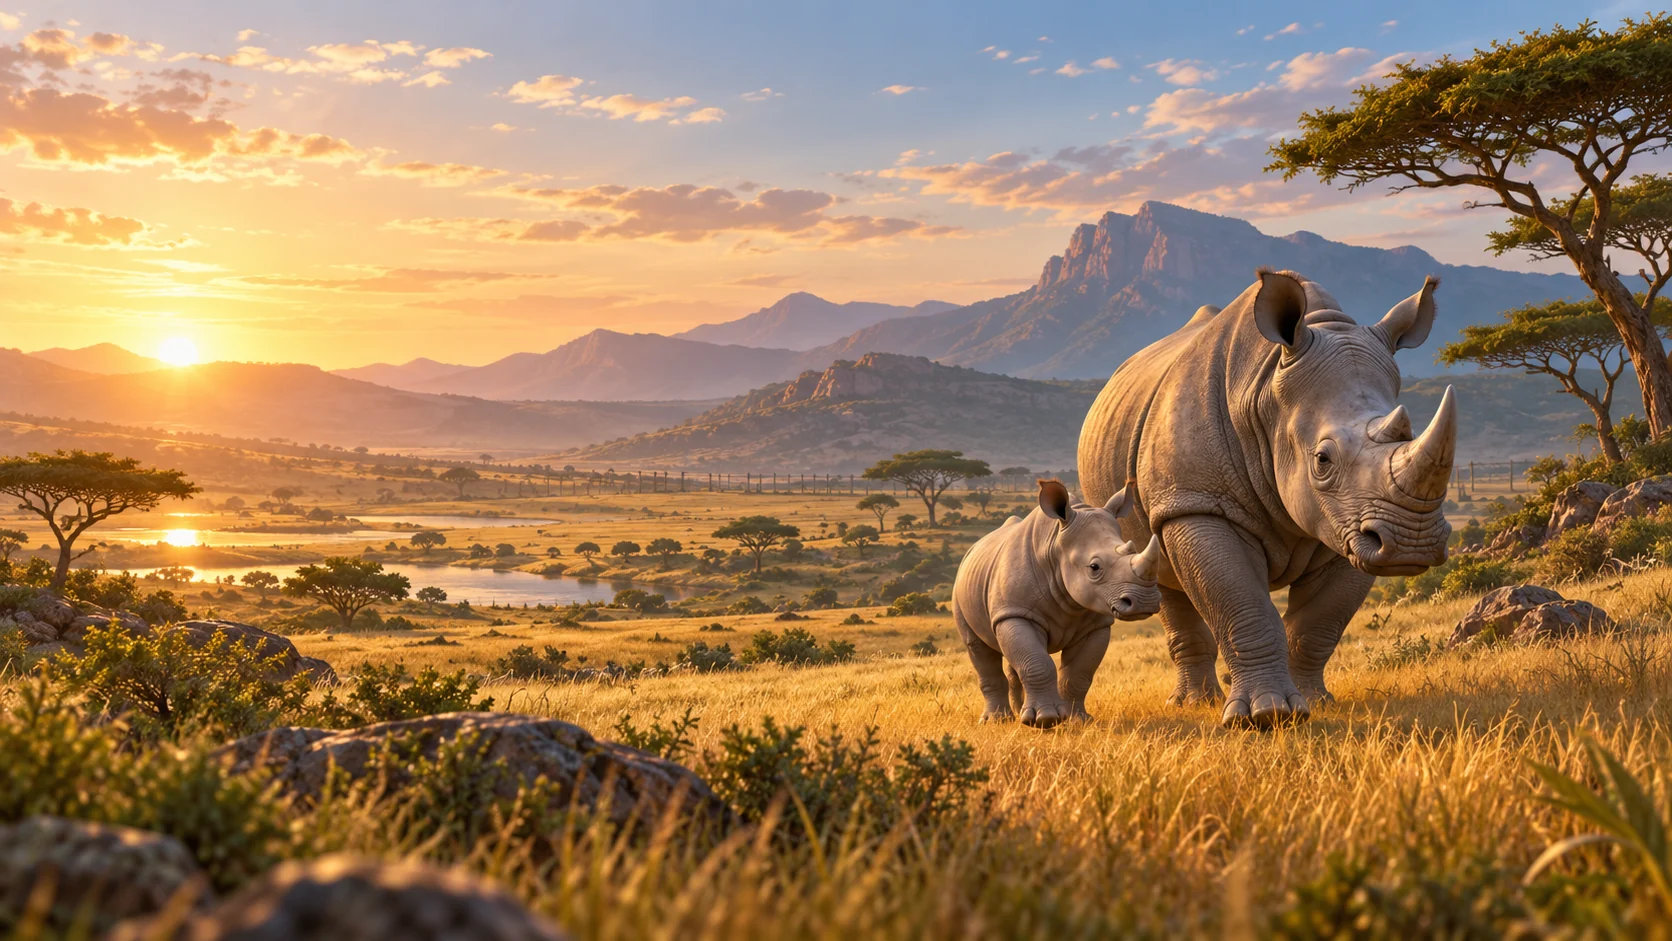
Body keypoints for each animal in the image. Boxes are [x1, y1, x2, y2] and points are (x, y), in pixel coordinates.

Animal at [953, 479, 1161, 728]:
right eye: (1094, 567)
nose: (1145, 602)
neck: (1055, 545)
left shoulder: (1096, 624)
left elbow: (1079, 673)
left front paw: (1077, 720)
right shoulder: (1016, 613)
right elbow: (1037, 663)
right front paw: (1045, 720)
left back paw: (1018, 713)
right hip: (962, 589)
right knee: (978, 647)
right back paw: (996, 720)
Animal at [1078, 269, 1455, 729]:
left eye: (1408, 434)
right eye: (1322, 460)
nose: (1411, 543)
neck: (1264, 396)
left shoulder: (1351, 521)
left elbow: (1319, 622)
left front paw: (1313, 703)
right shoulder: (1194, 503)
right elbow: (1242, 604)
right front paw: (1264, 716)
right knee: (1159, 570)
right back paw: (1192, 704)